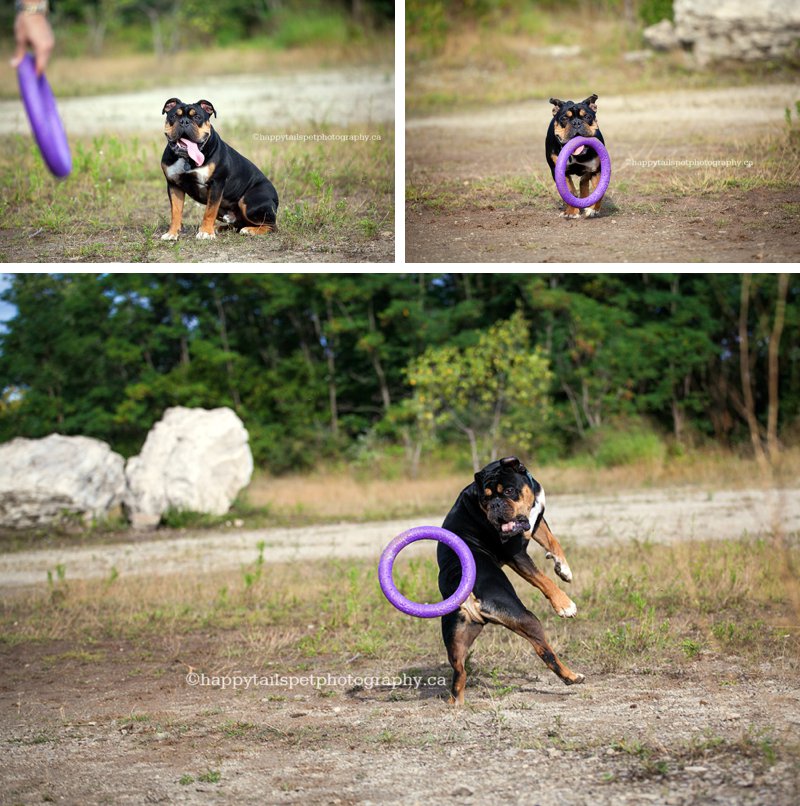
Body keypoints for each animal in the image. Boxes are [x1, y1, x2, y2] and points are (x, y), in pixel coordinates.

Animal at [159, 98, 278, 240]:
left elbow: (209, 211)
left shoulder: (216, 184)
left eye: (197, 117)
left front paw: (205, 232)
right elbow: (176, 212)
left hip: (248, 202)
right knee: (237, 224)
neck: (186, 158)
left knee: (271, 226)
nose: (184, 122)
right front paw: (172, 233)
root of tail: (276, 200)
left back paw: (250, 230)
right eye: (174, 116)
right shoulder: (174, 185)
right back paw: (219, 228)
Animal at [438, 460, 580, 708]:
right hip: (527, 619)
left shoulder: (537, 520)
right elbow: (542, 580)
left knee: (459, 672)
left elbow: (553, 541)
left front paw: (563, 568)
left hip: (458, 637)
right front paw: (564, 604)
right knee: (546, 653)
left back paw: (456, 703)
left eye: (508, 491)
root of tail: (469, 595)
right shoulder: (515, 554)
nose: (495, 504)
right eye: (485, 499)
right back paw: (571, 676)